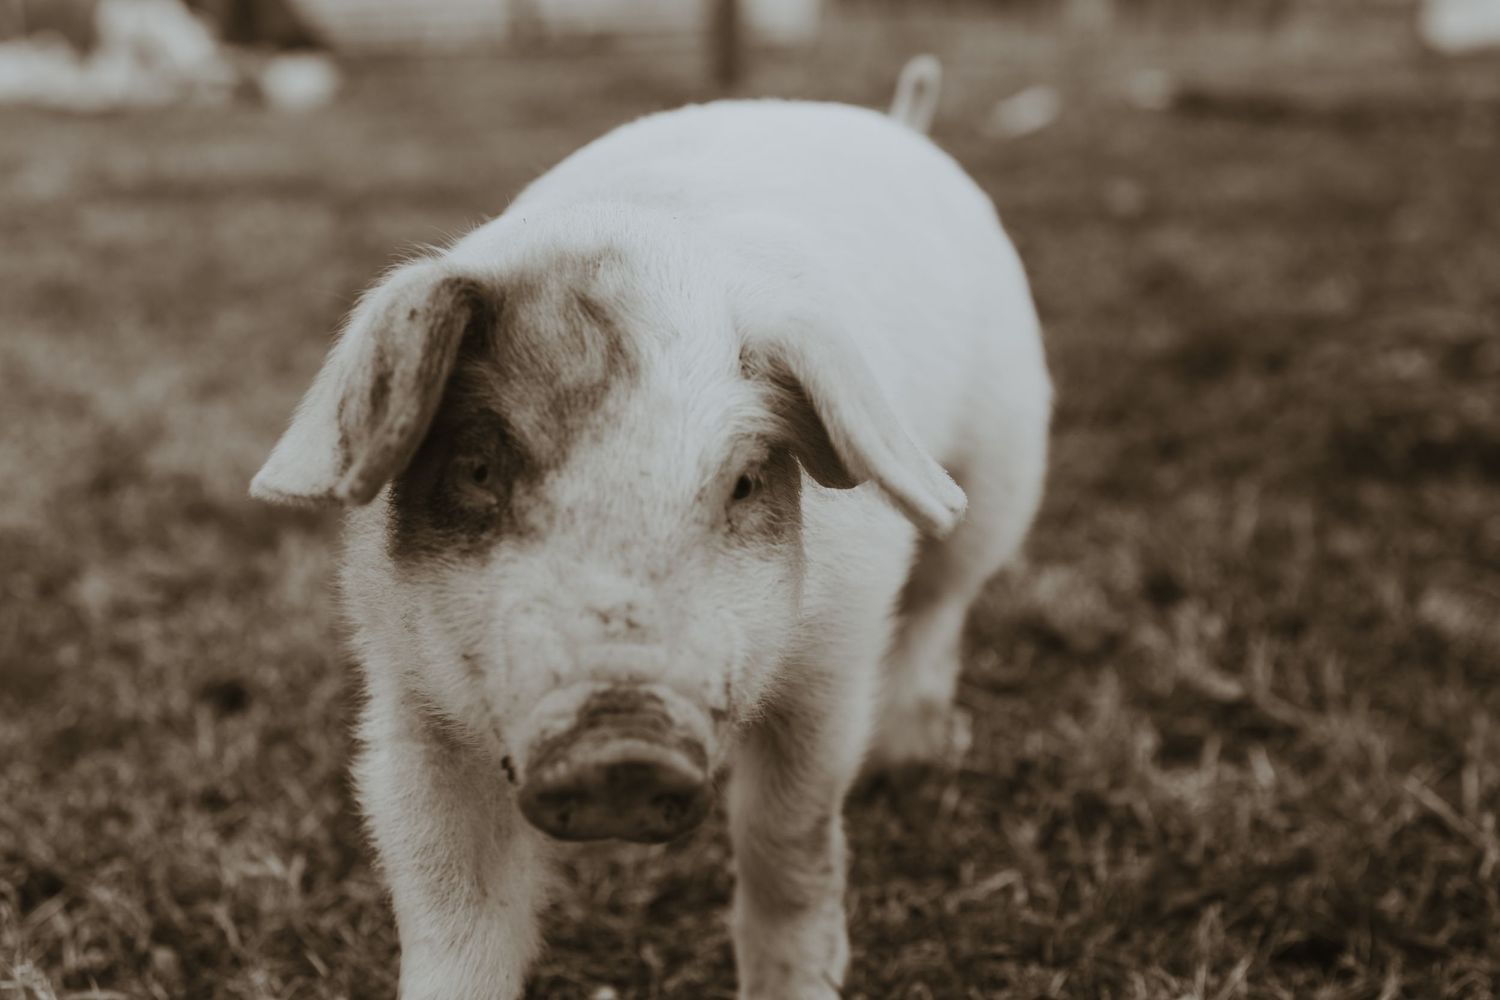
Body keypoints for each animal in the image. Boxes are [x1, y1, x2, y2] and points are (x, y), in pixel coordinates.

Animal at [250, 57, 1051, 1000]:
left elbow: (791, 841)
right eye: (480, 468)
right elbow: (452, 903)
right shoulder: (408, 699)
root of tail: (901, 122)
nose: (620, 739)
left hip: (998, 473)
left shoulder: (832, 660)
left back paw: (912, 759)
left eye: (743, 482)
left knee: (940, 605)